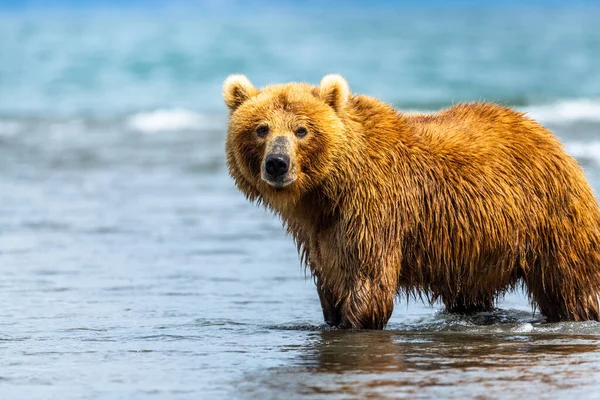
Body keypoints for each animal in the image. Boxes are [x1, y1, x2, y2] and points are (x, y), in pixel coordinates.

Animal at [221, 74, 600, 328]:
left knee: (571, 284)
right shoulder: (320, 232)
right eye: (261, 128)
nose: (277, 163)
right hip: (477, 248)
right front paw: (332, 317)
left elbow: (368, 282)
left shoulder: (373, 209)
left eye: (302, 129)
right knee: (470, 294)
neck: (328, 190)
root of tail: (545, 134)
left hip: (550, 215)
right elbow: (330, 279)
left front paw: (353, 323)